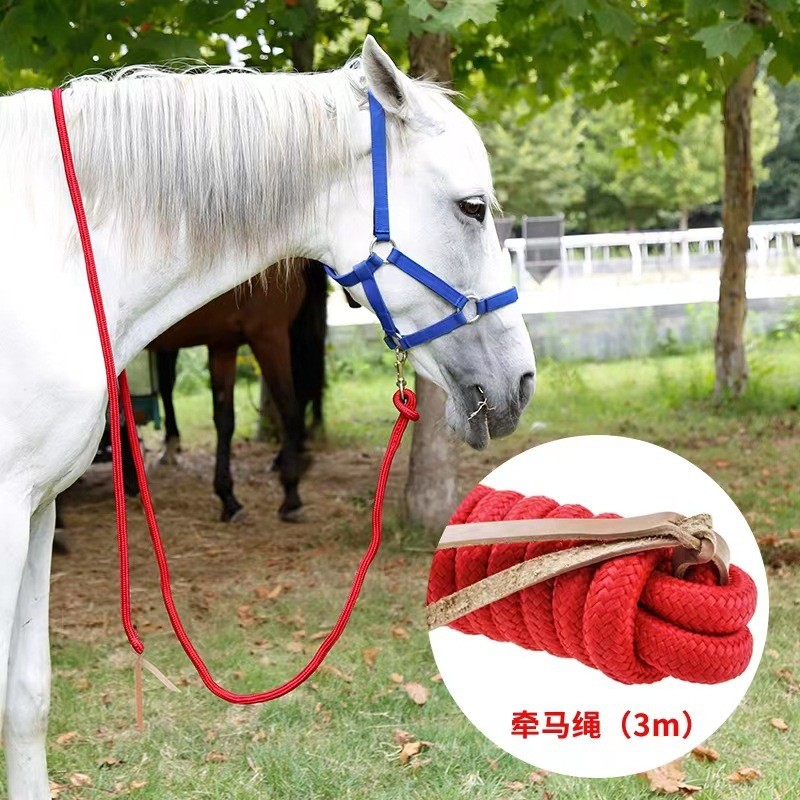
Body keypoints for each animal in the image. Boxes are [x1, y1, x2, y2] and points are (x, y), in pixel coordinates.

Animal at [149, 260, 327, 522]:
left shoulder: (223, 343)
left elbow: (225, 421)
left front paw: (228, 498)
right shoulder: (270, 335)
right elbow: (289, 410)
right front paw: (291, 494)